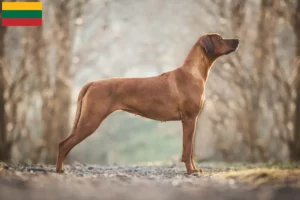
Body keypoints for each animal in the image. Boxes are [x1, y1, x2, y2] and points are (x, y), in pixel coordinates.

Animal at [55, 33, 239, 175]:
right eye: (220, 38)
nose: (237, 40)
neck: (193, 72)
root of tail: (92, 83)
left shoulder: (191, 121)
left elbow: (190, 150)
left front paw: (193, 169)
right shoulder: (189, 119)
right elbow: (187, 150)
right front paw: (190, 171)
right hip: (90, 120)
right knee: (63, 144)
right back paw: (59, 170)